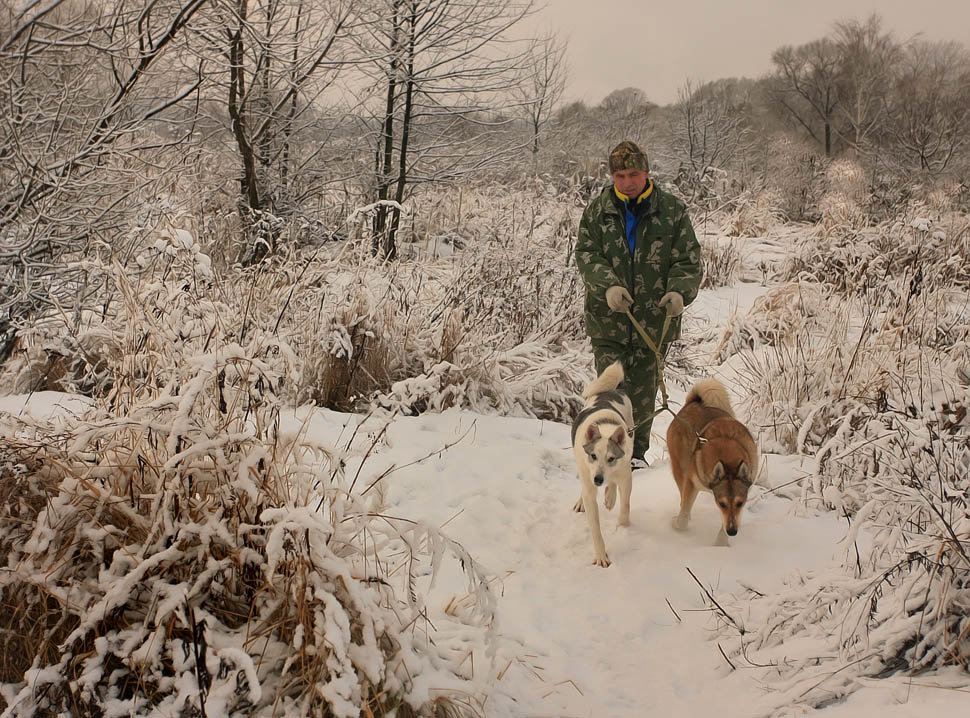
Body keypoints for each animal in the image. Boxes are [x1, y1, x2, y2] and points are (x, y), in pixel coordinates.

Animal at [568, 362, 636, 572]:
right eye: (593, 456)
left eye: (611, 458)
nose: (598, 479)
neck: (605, 427)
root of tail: (612, 390)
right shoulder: (589, 478)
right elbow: (595, 527)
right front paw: (601, 556)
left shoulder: (624, 474)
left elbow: (625, 505)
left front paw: (623, 527)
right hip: (583, 469)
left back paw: (609, 497)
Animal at [664, 380, 756, 548]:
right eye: (722, 504)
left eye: (740, 503)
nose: (732, 531)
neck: (728, 459)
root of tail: (693, 402)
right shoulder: (691, 483)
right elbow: (683, 516)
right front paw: (677, 522)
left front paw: (721, 543)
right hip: (680, 469)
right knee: (682, 495)